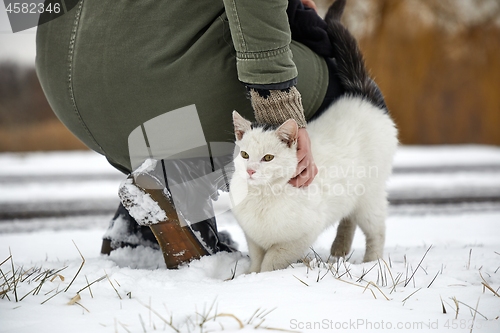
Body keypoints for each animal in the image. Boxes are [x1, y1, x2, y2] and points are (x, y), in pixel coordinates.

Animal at [230, 0, 398, 272]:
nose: (251, 170)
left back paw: (371, 263)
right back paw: (339, 249)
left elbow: (272, 261)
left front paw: (263, 278)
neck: (262, 196)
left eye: (268, 158)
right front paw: (249, 276)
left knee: (377, 230)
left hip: (369, 197)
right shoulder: (252, 237)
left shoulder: (298, 238)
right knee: (348, 217)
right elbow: (256, 258)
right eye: (244, 154)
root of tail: (362, 95)